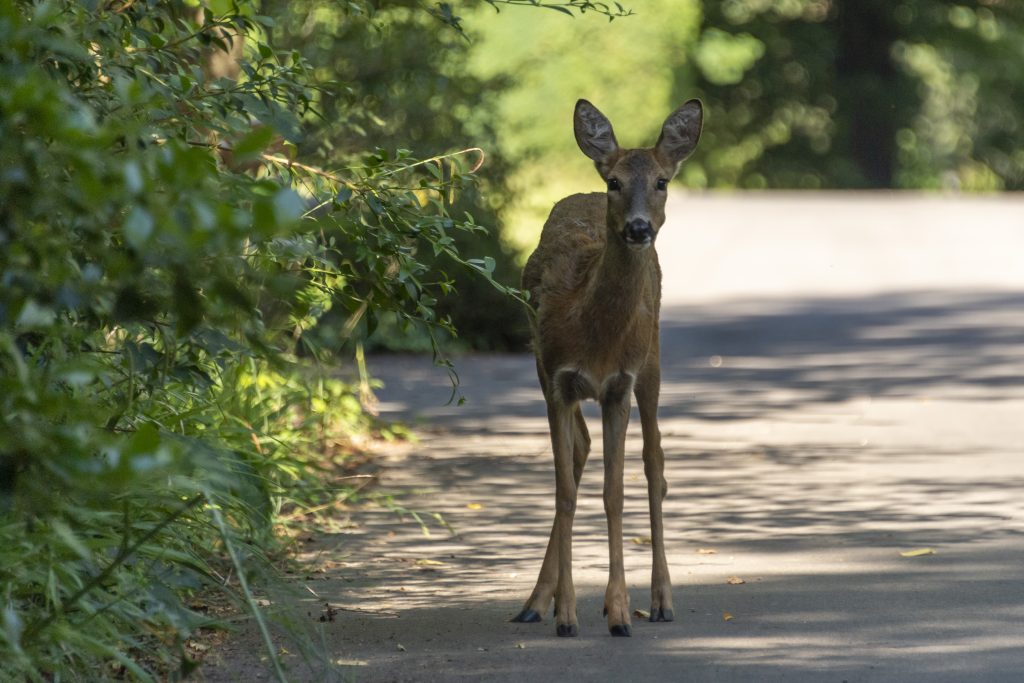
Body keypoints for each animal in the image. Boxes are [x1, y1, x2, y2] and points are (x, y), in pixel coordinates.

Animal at [512, 98, 704, 638]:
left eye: (662, 181)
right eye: (614, 182)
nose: (638, 228)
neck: (595, 334)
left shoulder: (619, 385)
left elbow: (613, 493)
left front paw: (618, 612)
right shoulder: (557, 379)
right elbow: (564, 492)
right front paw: (566, 612)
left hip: (652, 359)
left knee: (655, 462)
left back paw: (661, 601)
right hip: (543, 369)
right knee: (580, 449)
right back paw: (537, 601)